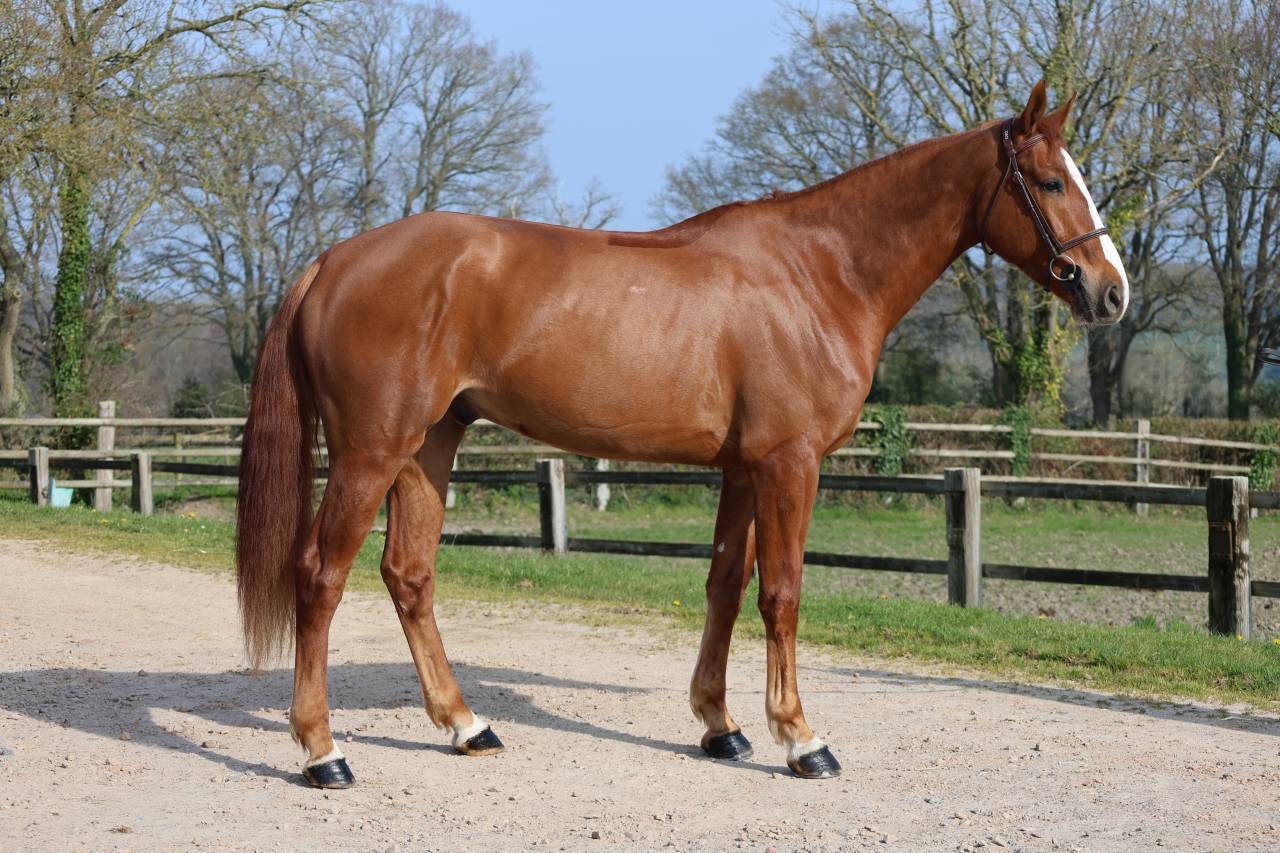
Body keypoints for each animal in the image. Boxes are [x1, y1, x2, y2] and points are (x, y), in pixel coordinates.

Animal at [235, 80, 1128, 788]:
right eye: (1050, 180)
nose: (1110, 291)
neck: (819, 273)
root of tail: (332, 260)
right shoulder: (790, 463)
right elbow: (783, 594)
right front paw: (801, 738)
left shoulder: (743, 467)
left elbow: (726, 585)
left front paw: (721, 725)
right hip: (372, 451)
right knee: (320, 575)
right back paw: (323, 752)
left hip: (429, 446)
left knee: (409, 575)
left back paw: (466, 724)